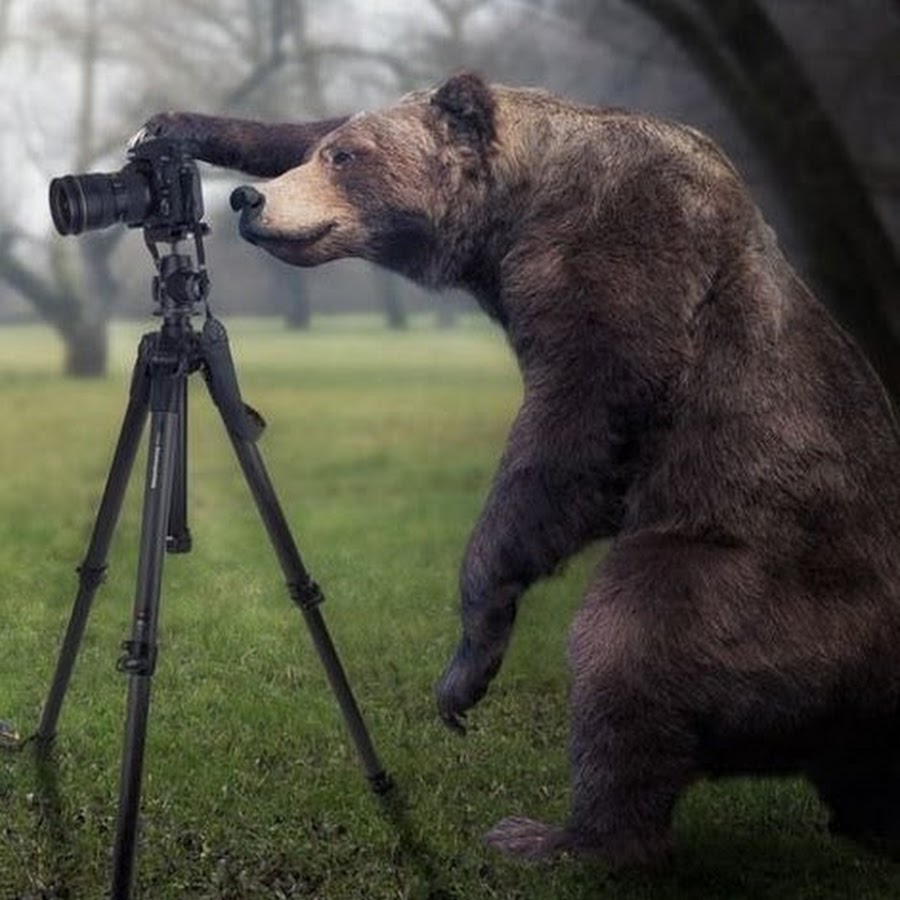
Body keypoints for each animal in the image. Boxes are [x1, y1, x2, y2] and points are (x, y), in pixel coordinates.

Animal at [140, 72, 900, 867]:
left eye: (347, 158)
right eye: (324, 151)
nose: (247, 202)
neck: (518, 212)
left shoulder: (624, 260)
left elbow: (574, 438)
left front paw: (463, 668)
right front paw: (175, 125)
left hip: (757, 575)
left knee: (630, 641)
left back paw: (557, 836)